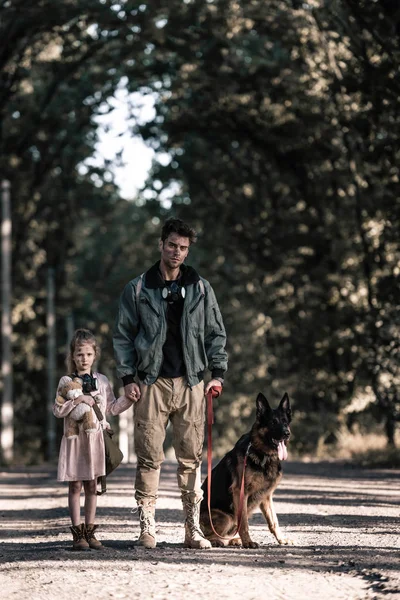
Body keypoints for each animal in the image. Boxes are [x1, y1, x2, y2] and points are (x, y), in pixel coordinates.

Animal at [199, 394, 290, 548]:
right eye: (273, 422)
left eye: (285, 422)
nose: (287, 433)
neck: (263, 454)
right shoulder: (240, 492)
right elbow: (244, 523)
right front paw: (248, 542)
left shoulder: (267, 496)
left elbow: (274, 521)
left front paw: (282, 539)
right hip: (226, 517)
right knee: (208, 534)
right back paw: (217, 541)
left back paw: (234, 540)